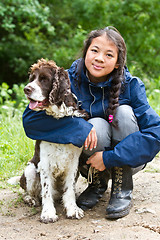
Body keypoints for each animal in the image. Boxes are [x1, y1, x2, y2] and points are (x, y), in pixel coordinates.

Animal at [20, 58, 88, 223]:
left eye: (44, 79)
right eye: (32, 78)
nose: (26, 89)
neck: (59, 117)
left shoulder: (74, 162)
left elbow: (69, 189)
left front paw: (72, 209)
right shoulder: (44, 163)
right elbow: (46, 190)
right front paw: (48, 213)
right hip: (30, 169)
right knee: (29, 192)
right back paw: (31, 199)